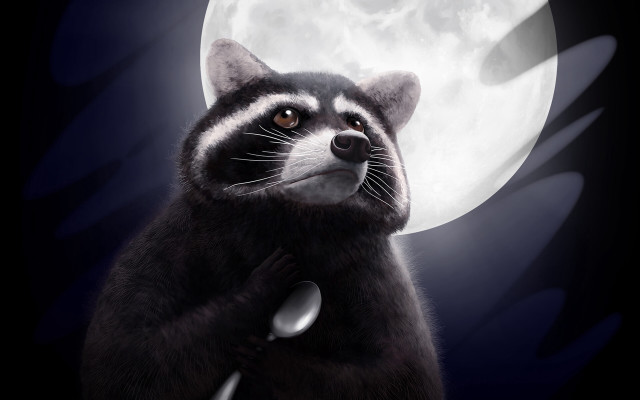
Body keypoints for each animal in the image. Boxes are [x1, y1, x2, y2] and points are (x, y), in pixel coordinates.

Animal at [81, 38, 443, 400]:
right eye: (287, 116)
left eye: (356, 124)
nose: (354, 144)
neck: (298, 213)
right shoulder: (173, 237)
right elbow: (129, 355)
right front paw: (257, 291)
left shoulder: (376, 269)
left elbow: (399, 373)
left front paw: (273, 359)